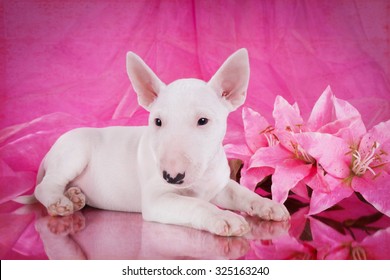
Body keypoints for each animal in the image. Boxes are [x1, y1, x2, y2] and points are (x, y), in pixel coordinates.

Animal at [33, 48, 290, 236]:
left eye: (203, 121)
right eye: (157, 121)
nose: (171, 177)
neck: (201, 174)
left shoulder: (218, 185)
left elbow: (240, 193)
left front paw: (268, 205)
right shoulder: (157, 200)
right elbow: (196, 204)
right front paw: (224, 217)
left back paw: (75, 197)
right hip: (74, 152)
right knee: (45, 186)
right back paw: (59, 201)